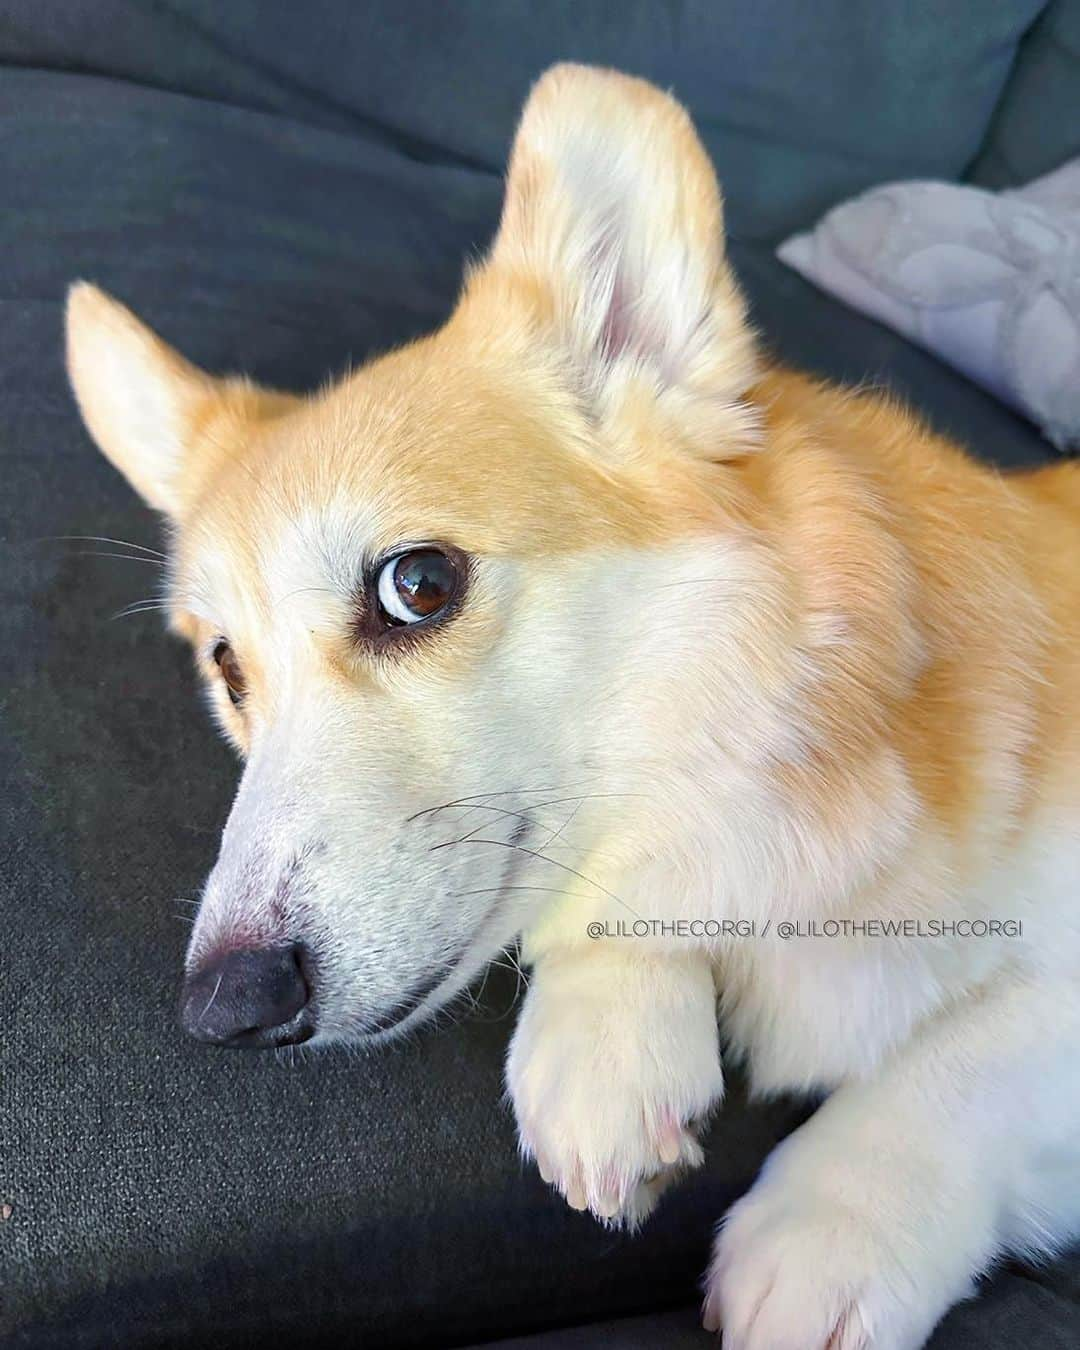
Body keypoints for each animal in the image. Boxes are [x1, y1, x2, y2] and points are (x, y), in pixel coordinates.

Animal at [67, 63, 1080, 1350]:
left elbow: (981, 1049)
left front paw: (830, 1230)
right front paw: (608, 1047)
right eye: (227, 670)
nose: (226, 1010)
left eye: (417, 584)